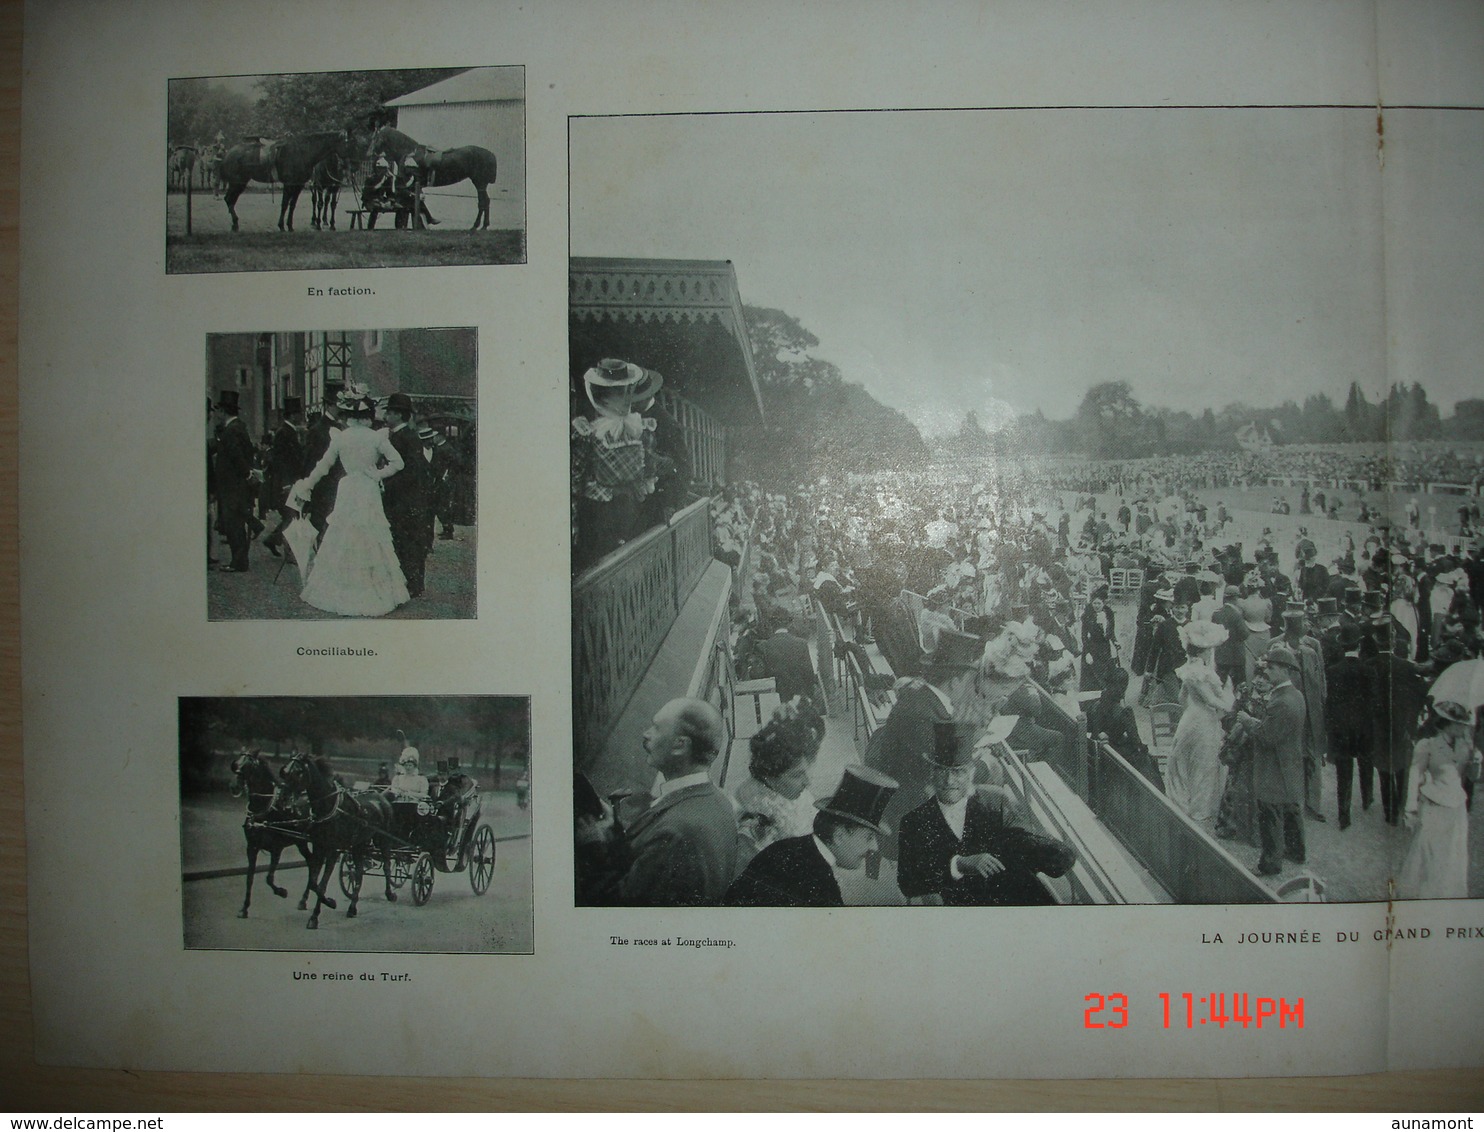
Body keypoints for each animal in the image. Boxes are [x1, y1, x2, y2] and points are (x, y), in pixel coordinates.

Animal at [219, 130, 353, 232]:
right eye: (348, 144)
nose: (348, 166)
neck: (302, 153)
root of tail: (229, 153)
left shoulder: (298, 185)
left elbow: (292, 205)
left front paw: (289, 226)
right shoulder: (289, 185)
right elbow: (284, 204)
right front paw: (281, 226)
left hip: (240, 183)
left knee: (230, 200)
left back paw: (235, 224)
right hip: (237, 182)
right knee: (229, 199)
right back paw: (235, 223)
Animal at [225, 753, 319, 919]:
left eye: (248, 767)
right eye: (235, 765)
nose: (234, 786)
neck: (265, 808)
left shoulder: (276, 848)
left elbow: (269, 878)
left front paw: (281, 891)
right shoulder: (252, 847)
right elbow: (249, 877)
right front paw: (244, 908)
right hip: (301, 842)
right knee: (311, 862)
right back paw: (303, 899)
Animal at [280, 753, 397, 931]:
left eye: (299, 772)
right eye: (285, 771)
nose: (284, 800)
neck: (329, 808)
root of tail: (381, 797)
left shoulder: (332, 851)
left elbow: (321, 884)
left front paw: (316, 915)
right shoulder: (319, 847)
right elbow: (313, 881)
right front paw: (328, 902)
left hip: (383, 840)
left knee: (387, 866)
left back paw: (389, 893)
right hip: (358, 845)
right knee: (359, 873)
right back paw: (352, 907)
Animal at [366, 126, 495, 229]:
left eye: (375, 139)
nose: (369, 154)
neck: (409, 154)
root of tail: (490, 154)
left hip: (479, 183)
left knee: (483, 202)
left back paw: (478, 226)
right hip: (480, 183)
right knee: (485, 201)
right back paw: (482, 225)